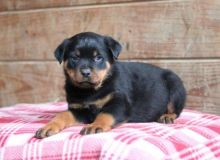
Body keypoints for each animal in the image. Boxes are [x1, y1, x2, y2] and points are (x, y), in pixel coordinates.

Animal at [35, 31, 186, 138]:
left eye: (98, 58)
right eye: (74, 58)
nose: (85, 72)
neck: (91, 91)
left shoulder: (119, 103)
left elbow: (105, 114)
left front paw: (95, 126)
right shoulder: (79, 109)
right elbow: (63, 115)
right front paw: (48, 126)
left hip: (175, 85)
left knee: (176, 110)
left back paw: (167, 116)